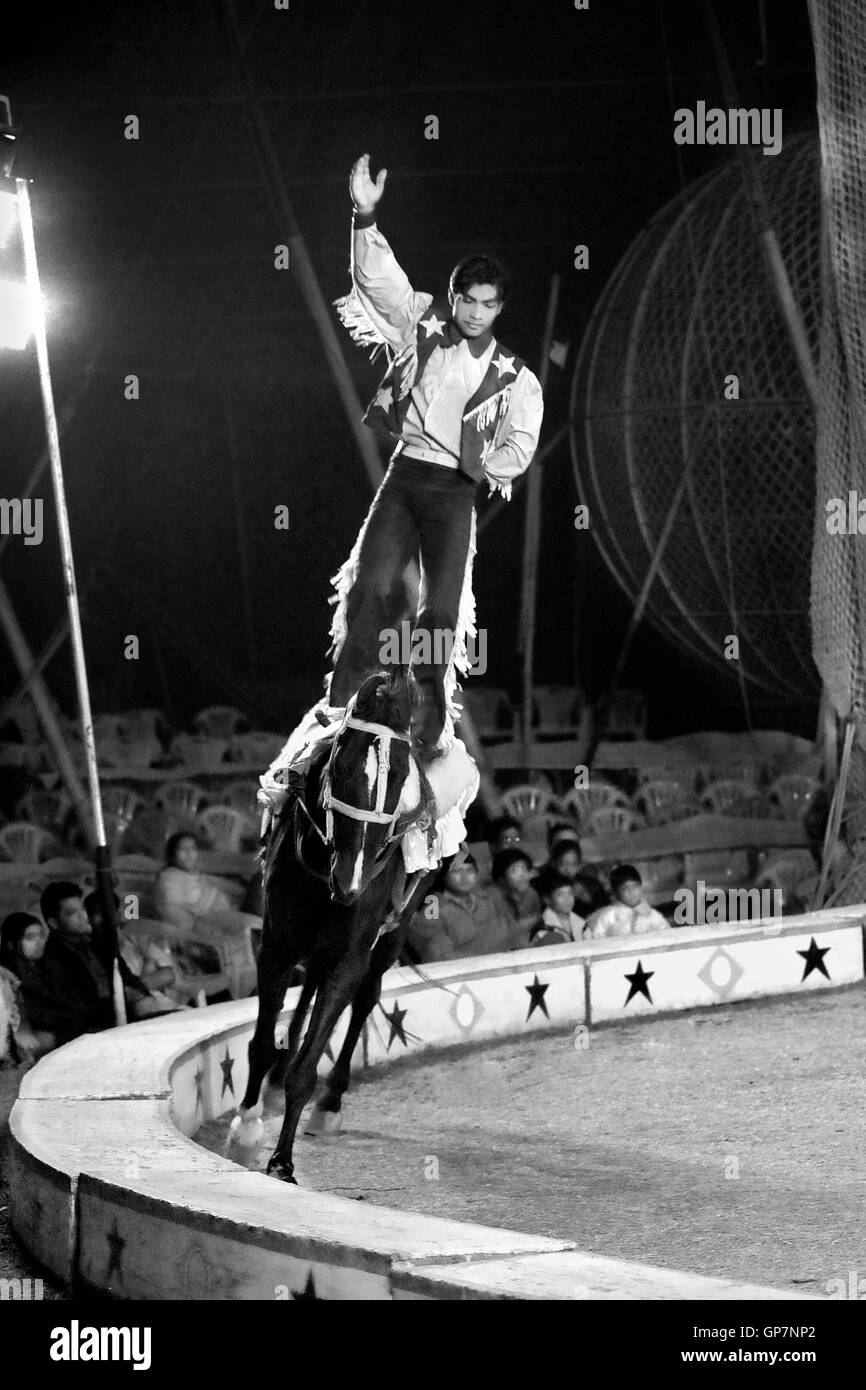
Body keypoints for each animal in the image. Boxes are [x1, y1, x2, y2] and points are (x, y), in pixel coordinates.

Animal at [233, 667, 444, 1178]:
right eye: (343, 768)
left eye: (400, 779)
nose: (351, 882)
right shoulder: (276, 943)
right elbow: (261, 1041)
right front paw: (246, 1124)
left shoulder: (351, 954)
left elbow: (310, 1062)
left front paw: (282, 1162)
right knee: (309, 982)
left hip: (394, 931)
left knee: (365, 998)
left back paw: (330, 1103)